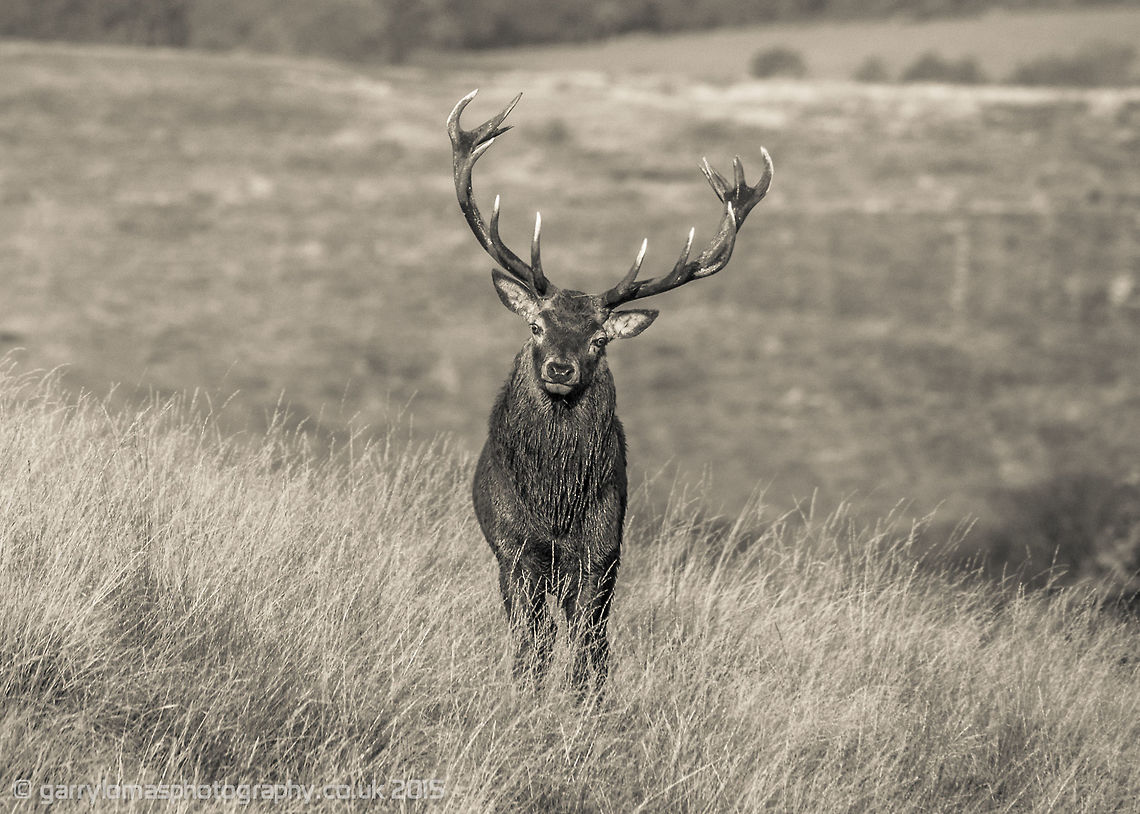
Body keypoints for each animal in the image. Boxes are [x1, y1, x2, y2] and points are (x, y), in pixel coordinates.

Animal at [448, 89, 772, 693]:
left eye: (600, 339)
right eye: (536, 325)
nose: (560, 369)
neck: (554, 504)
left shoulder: (602, 549)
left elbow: (589, 644)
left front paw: (587, 702)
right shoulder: (513, 547)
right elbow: (531, 641)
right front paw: (526, 693)